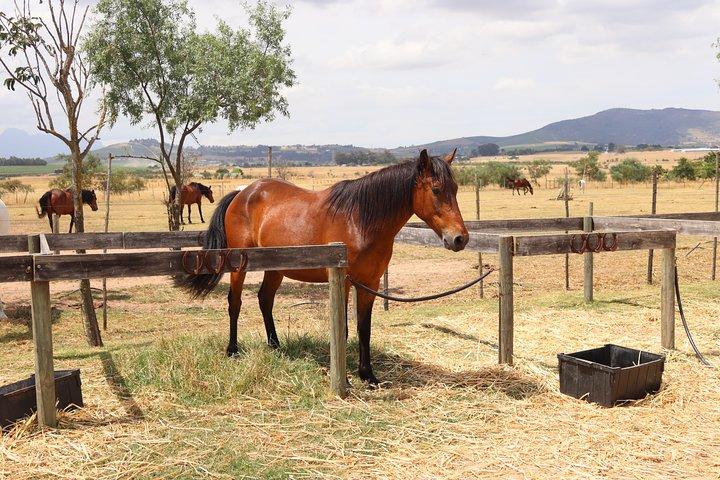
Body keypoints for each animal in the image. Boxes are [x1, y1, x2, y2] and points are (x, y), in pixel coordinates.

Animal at [176, 149, 469, 385]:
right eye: (436, 189)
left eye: (455, 188)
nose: (460, 238)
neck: (360, 220)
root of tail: (242, 193)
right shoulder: (345, 281)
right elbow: (345, 329)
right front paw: (347, 377)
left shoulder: (370, 284)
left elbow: (364, 327)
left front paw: (368, 375)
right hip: (240, 265)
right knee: (235, 302)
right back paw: (233, 350)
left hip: (276, 268)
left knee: (264, 299)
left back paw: (275, 346)